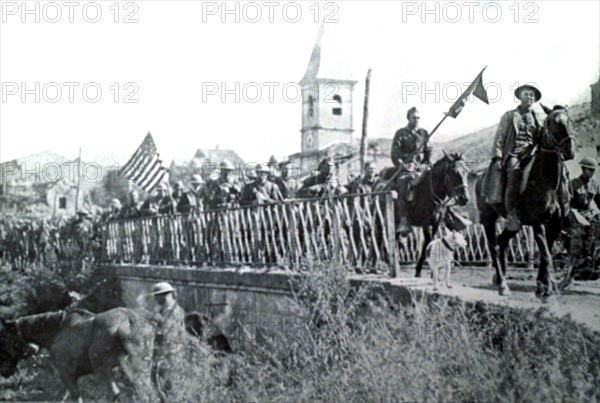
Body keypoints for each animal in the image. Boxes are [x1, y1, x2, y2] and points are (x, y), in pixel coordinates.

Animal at [0, 310, 157, 400]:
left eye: (4, 338)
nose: (5, 372)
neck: (56, 331)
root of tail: (129, 320)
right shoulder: (69, 378)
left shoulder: (66, 375)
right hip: (141, 369)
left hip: (109, 370)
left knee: (116, 394)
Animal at [476, 105, 580, 300]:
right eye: (553, 123)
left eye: (569, 120)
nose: (569, 150)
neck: (548, 182)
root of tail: (481, 176)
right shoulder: (538, 223)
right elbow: (546, 254)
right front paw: (548, 289)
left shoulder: (555, 224)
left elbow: (546, 253)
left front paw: (542, 287)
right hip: (488, 219)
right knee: (494, 247)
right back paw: (502, 285)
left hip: (514, 225)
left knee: (502, 242)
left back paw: (499, 278)